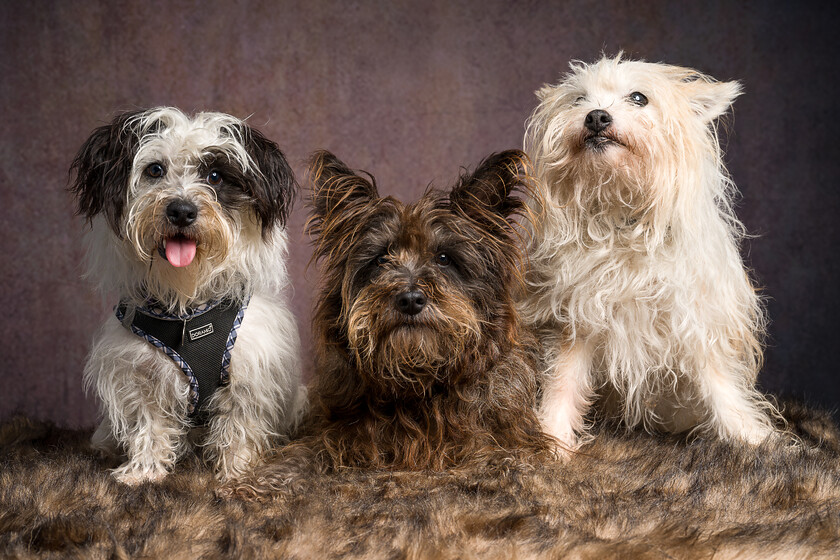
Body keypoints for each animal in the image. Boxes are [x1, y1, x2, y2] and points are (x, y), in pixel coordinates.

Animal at [69, 107, 306, 484]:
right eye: (155, 170)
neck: (188, 309)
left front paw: (236, 474)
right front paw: (143, 472)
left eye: (215, 176)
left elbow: (238, 424)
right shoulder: (138, 373)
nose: (181, 210)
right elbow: (148, 424)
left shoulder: (248, 371)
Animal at [520, 54, 784, 452]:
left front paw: (752, 439)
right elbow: (564, 380)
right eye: (579, 99)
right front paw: (553, 439)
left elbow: (719, 381)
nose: (595, 116)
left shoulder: (694, 316)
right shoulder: (577, 318)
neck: (622, 217)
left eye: (639, 98)